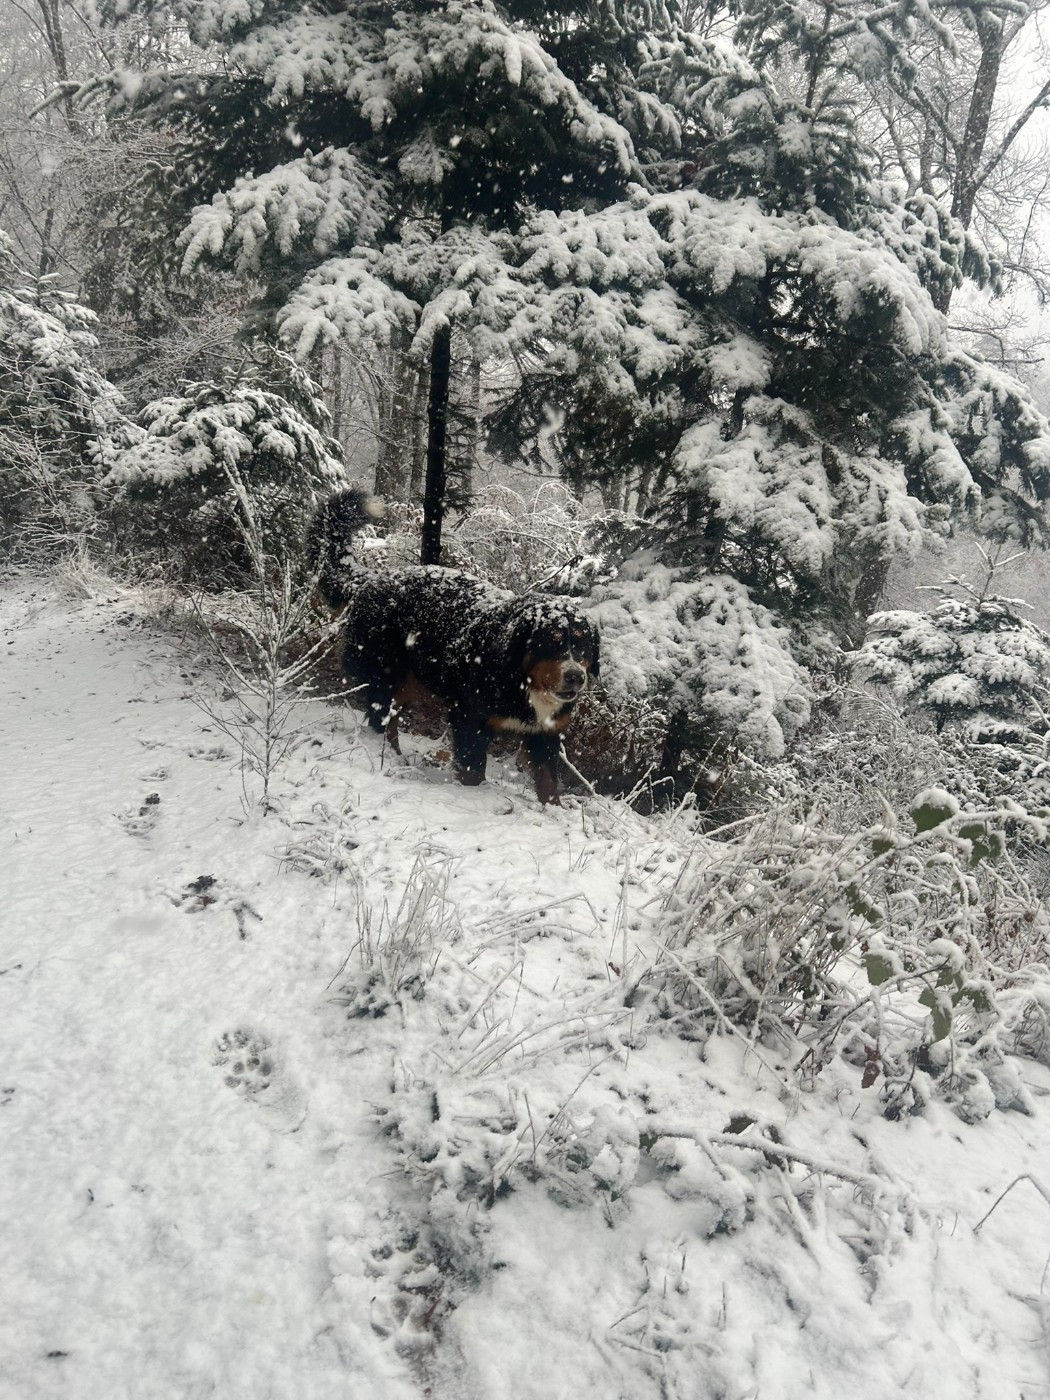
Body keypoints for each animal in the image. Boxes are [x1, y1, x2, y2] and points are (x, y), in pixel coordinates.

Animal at [307, 489, 600, 804]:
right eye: (551, 643)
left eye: (583, 648)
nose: (576, 676)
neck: (521, 678)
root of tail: (373, 578)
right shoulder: (470, 718)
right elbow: (473, 770)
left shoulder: (545, 732)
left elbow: (548, 782)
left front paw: (552, 809)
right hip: (385, 673)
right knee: (380, 718)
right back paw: (391, 759)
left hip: (408, 682)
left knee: (390, 719)